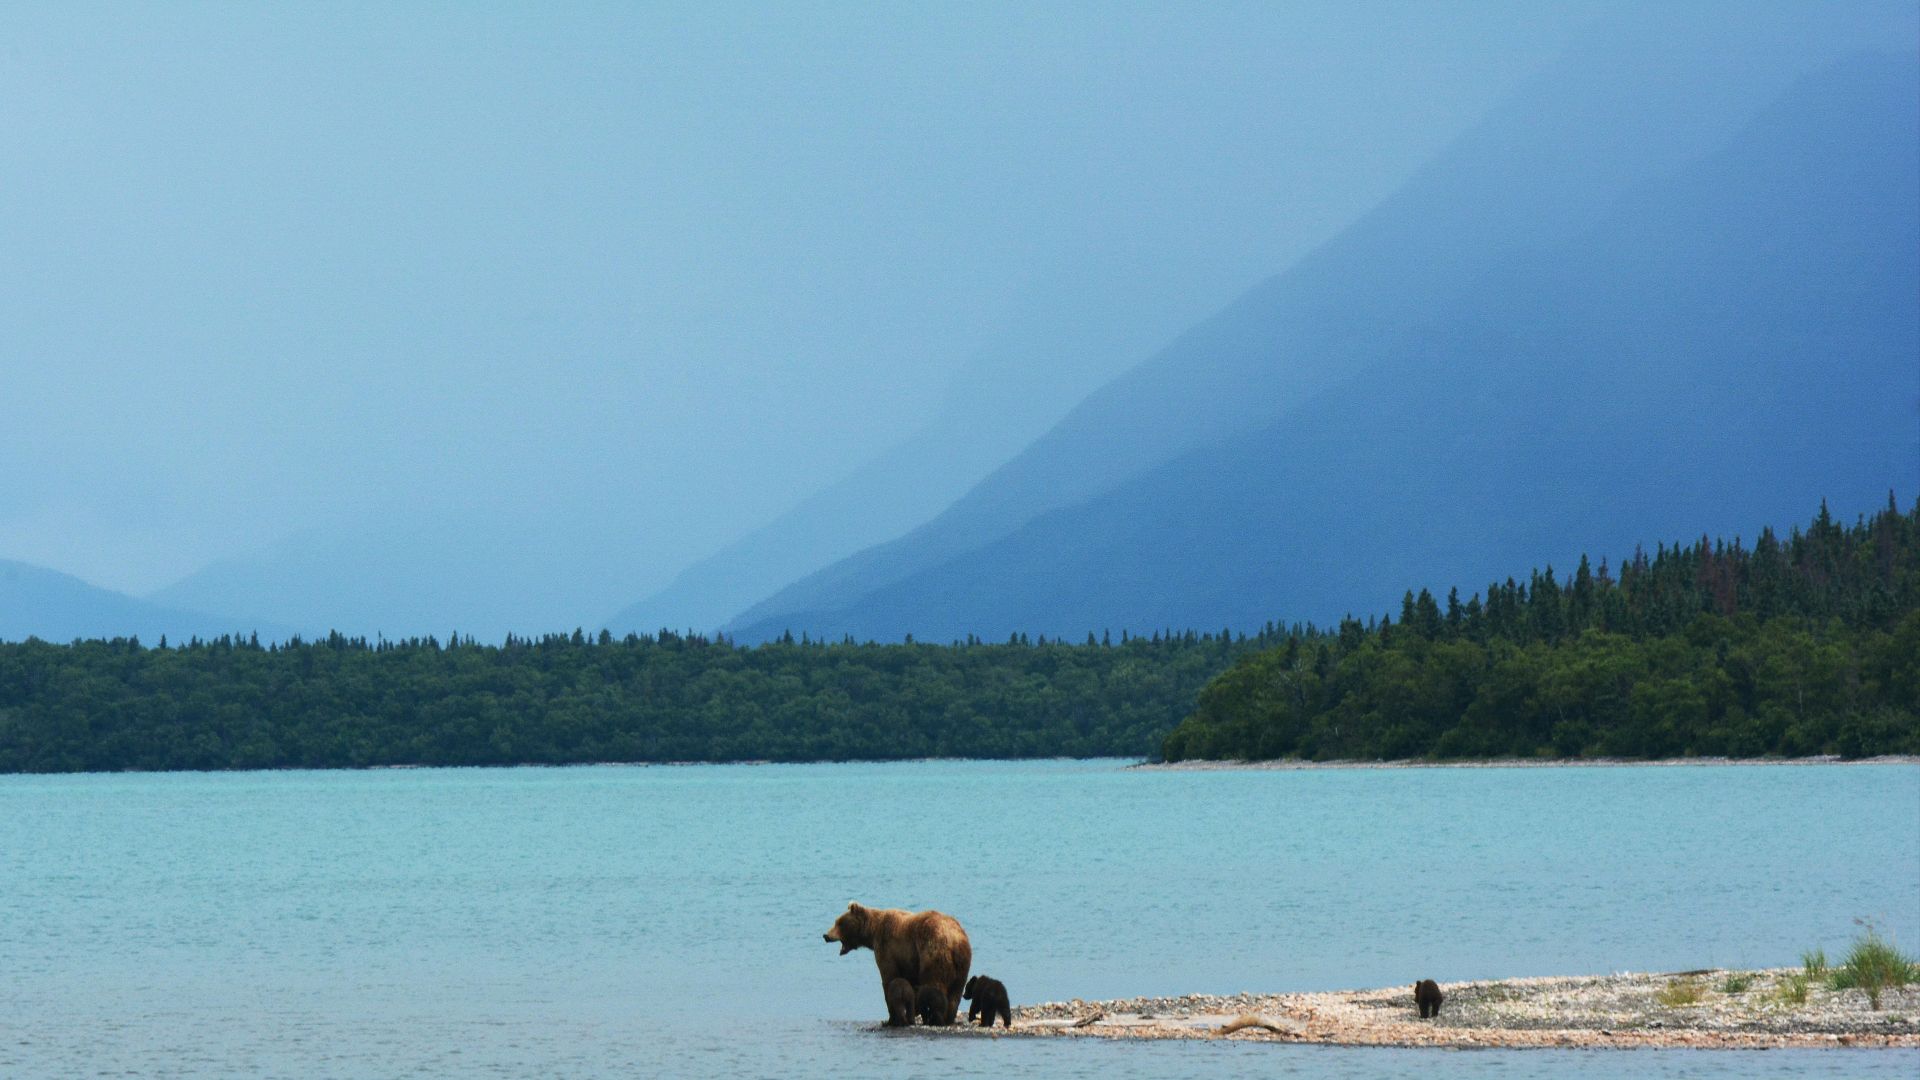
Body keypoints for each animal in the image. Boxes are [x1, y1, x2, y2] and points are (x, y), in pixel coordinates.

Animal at [823, 902, 972, 1025]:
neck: (872, 932)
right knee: (956, 994)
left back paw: (935, 1019)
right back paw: (948, 1019)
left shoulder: (887, 948)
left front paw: (891, 1018)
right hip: (963, 964)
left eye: (839, 923)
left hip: (933, 952)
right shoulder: (908, 962)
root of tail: (955, 941)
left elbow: (889, 978)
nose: (826, 935)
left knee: (934, 985)